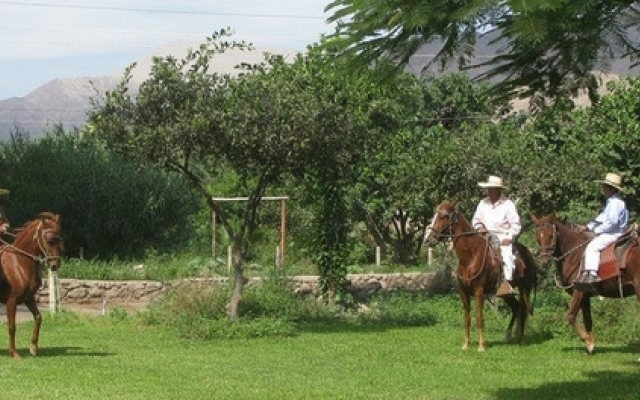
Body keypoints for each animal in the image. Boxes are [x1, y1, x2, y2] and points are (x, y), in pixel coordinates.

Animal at [0, 212, 62, 360]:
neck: (19, 264)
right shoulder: (11, 301)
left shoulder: (28, 298)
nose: (55, 265)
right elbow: (12, 326)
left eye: (60, 238)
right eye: (49, 240)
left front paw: (33, 348)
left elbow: (38, 318)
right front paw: (14, 353)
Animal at [428, 200, 536, 350]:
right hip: (506, 293)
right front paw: (466, 344)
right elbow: (467, 319)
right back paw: (508, 336)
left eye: (443, 216)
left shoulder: (479, 291)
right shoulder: (463, 292)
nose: (429, 239)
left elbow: (480, 318)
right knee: (516, 307)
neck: (470, 256)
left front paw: (481, 346)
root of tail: (529, 253)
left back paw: (522, 340)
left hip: (525, 288)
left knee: (524, 309)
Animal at [532, 214, 640, 354]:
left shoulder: (579, 292)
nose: (544, 261)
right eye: (537, 236)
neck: (574, 255)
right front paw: (591, 344)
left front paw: (587, 341)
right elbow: (588, 320)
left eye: (551, 235)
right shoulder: (585, 296)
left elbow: (570, 316)